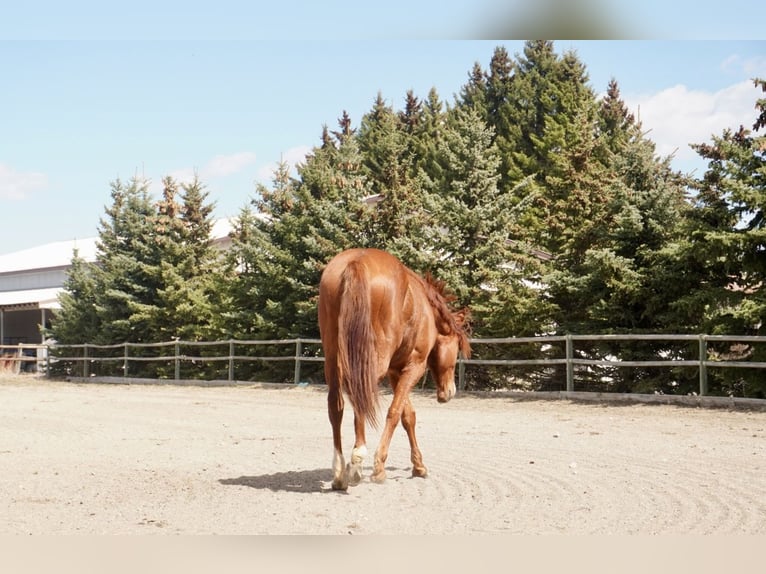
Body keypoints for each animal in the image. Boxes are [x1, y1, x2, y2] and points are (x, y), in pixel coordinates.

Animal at [318, 248, 471, 491]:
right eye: (457, 347)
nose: (449, 392)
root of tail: (356, 262)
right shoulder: (414, 366)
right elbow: (396, 412)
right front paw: (379, 466)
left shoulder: (395, 371)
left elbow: (408, 416)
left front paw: (419, 466)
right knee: (360, 393)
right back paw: (358, 459)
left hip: (333, 357)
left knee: (336, 404)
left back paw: (340, 472)